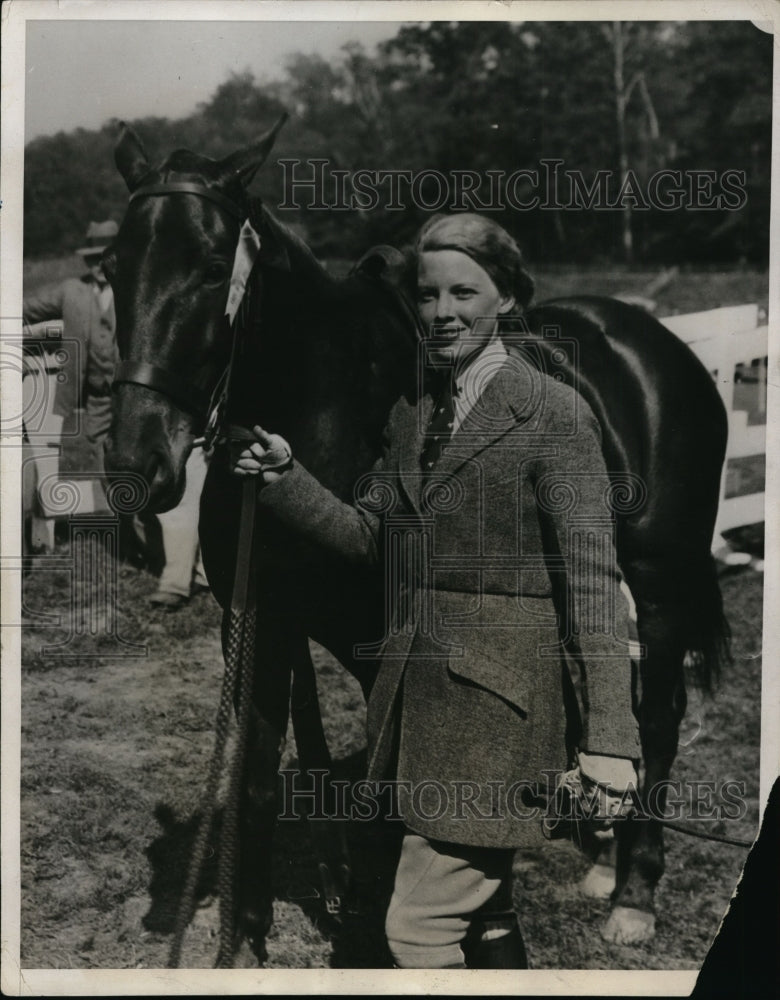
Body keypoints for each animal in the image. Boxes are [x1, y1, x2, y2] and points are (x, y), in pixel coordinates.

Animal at [105, 121, 732, 964]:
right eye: (112, 269)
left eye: (210, 269)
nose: (136, 465)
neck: (327, 411)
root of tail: (656, 342)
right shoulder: (261, 624)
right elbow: (257, 779)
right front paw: (244, 944)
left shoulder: (387, 649)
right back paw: (601, 858)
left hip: (660, 578)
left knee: (657, 715)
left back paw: (634, 893)